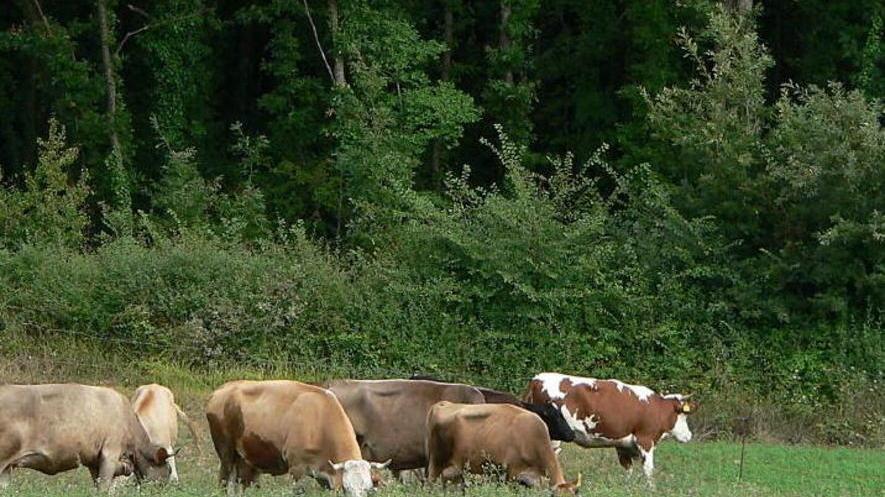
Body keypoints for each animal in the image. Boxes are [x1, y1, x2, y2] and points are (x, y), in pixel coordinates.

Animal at [0, 383, 171, 492]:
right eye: (168, 470)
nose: (165, 489)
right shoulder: (110, 452)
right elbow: (104, 487)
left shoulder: (94, 460)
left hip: (7, 468)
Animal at [206, 380, 389, 497]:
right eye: (347, 488)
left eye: (368, 490)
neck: (320, 421)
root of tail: (221, 390)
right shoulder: (297, 468)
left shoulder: (324, 476)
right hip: (226, 452)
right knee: (223, 481)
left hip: (247, 459)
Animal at [525, 372, 697, 483]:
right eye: (684, 415)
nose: (689, 435)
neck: (656, 408)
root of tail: (537, 379)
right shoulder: (645, 440)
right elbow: (648, 470)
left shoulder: (624, 445)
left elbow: (628, 469)